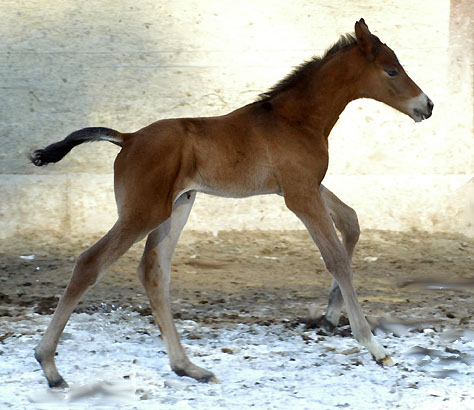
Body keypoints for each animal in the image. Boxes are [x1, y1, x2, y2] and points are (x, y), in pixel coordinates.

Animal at [31, 17, 434, 386]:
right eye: (391, 70)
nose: (427, 105)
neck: (296, 119)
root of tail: (127, 138)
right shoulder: (300, 195)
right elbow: (335, 258)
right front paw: (375, 347)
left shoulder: (303, 187)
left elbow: (350, 221)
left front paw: (330, 317)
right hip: (143, 211)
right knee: (90, 262)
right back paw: (49, 366)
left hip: (177, 206)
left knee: (153, 271)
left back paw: (188, 367)